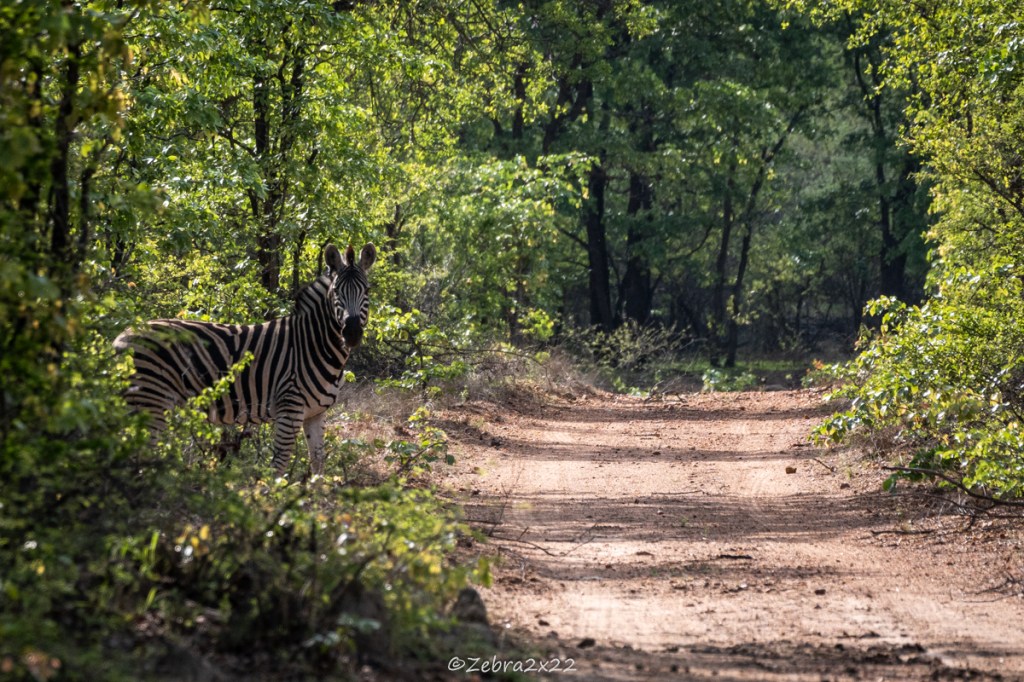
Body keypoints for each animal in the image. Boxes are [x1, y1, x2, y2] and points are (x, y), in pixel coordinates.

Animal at [115, 242, 376, 476]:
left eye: (367, 291)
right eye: (336, 292)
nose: (352, 333)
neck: (313, 344)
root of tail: (122, 335)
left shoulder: (315, 413)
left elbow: (318, 462)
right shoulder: (289, 407)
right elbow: (280, 462)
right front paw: (270, 497)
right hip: (149, 402)